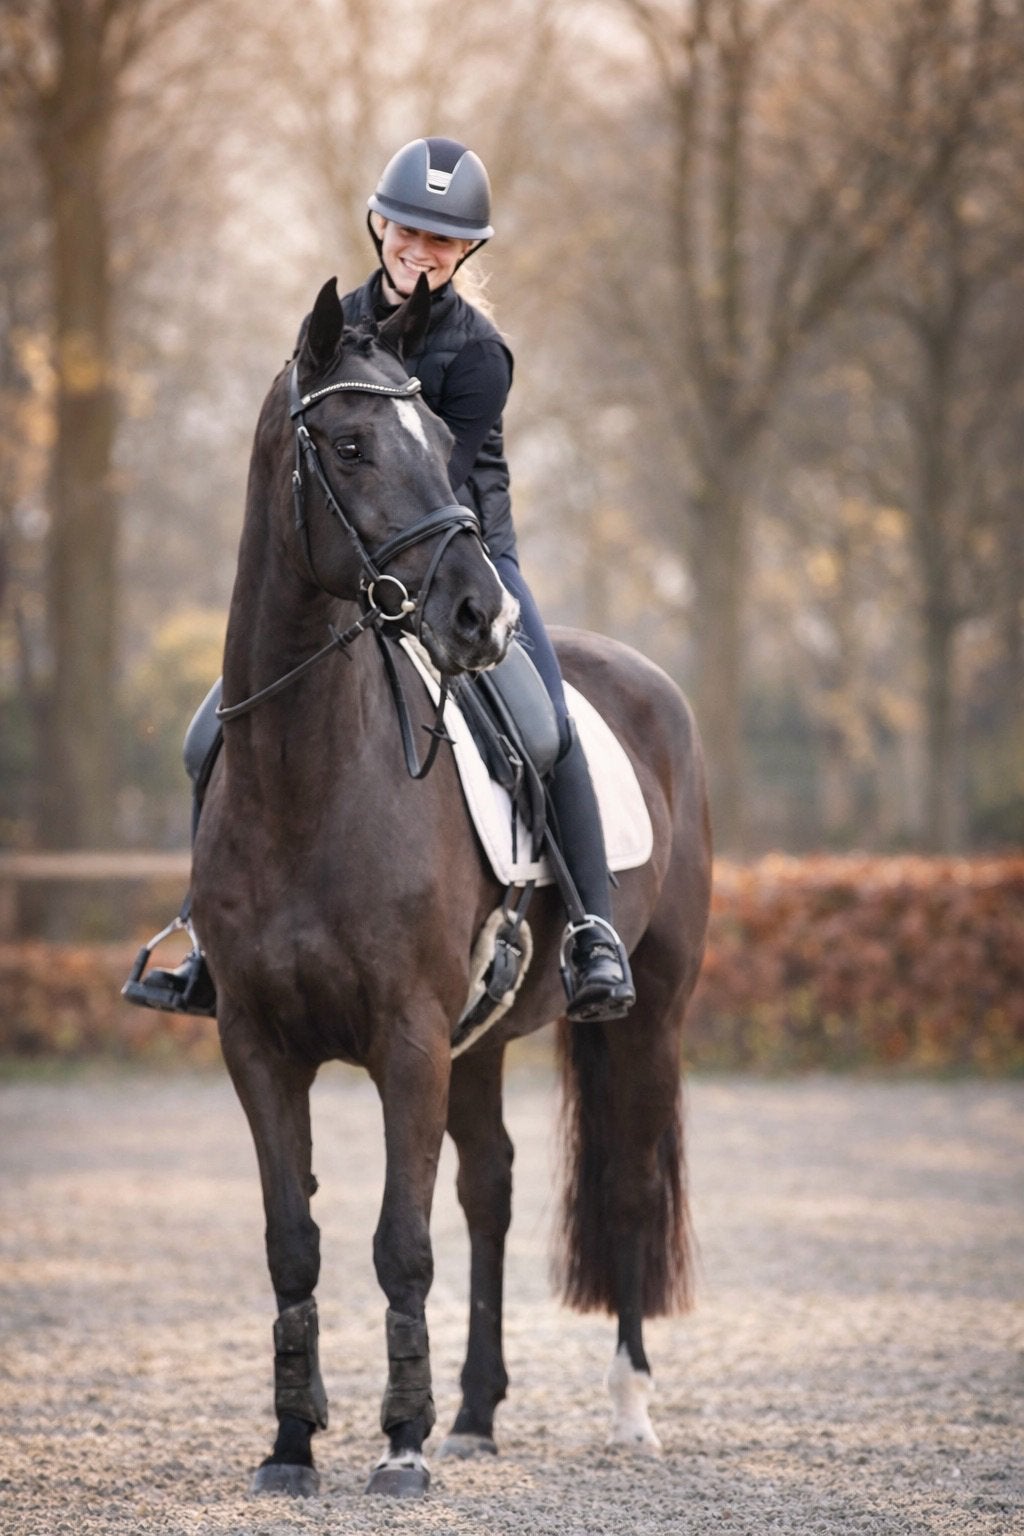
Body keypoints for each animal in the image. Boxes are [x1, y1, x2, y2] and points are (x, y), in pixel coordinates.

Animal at [190, 273, 712, 1499]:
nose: (481, 618)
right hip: (478, 1042)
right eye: (347, 443)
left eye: (444, 440)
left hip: (647, 1012)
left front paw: (401, 1446)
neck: (305, 780)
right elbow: (296, 1243)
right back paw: (477, 1410)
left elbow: (400, 1243)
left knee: (624, 1184)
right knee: (493, 1190)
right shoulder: (257, 1044)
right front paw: (293, 1444)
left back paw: (628, 1407)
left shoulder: (408, 1040)